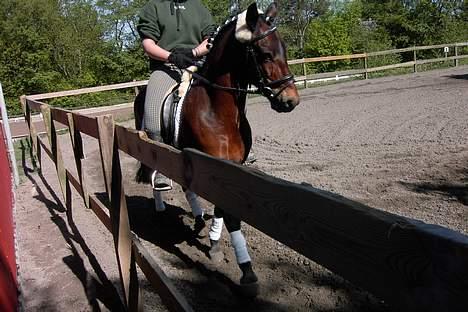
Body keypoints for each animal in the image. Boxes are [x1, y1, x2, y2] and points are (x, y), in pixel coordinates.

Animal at [134, 1, 300, 294]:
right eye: (265, 54)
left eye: (285, 50)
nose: (290, 100)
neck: (217, 110)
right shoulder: (213, 166)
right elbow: (231, 215)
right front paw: (246, 271)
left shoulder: (226, 168)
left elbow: (222, 209)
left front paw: (212, 242)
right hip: (153, 146)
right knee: (154, 172)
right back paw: (160, 209)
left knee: (188, 188)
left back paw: (199, 220)